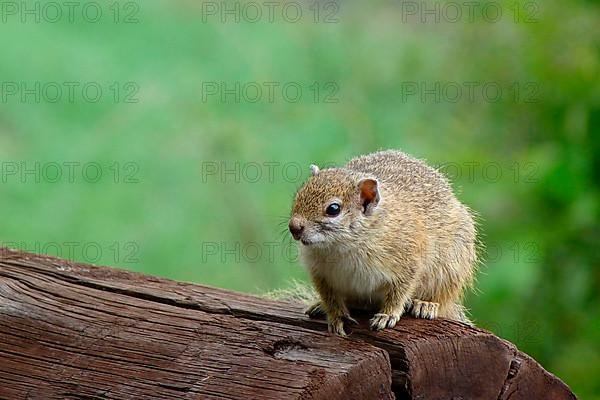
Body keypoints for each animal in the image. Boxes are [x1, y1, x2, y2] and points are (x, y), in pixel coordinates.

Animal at [288, 149, 480, 334]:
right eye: (298, 196)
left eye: (333, 209)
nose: (294, 227)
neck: (343, 246)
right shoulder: (321, 274)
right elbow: (330, 297)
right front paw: (336, 316)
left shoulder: (409, 261)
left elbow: (399, 292)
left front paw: (388, 315)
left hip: (450, 269)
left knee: (443, 297)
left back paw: (426, 304)